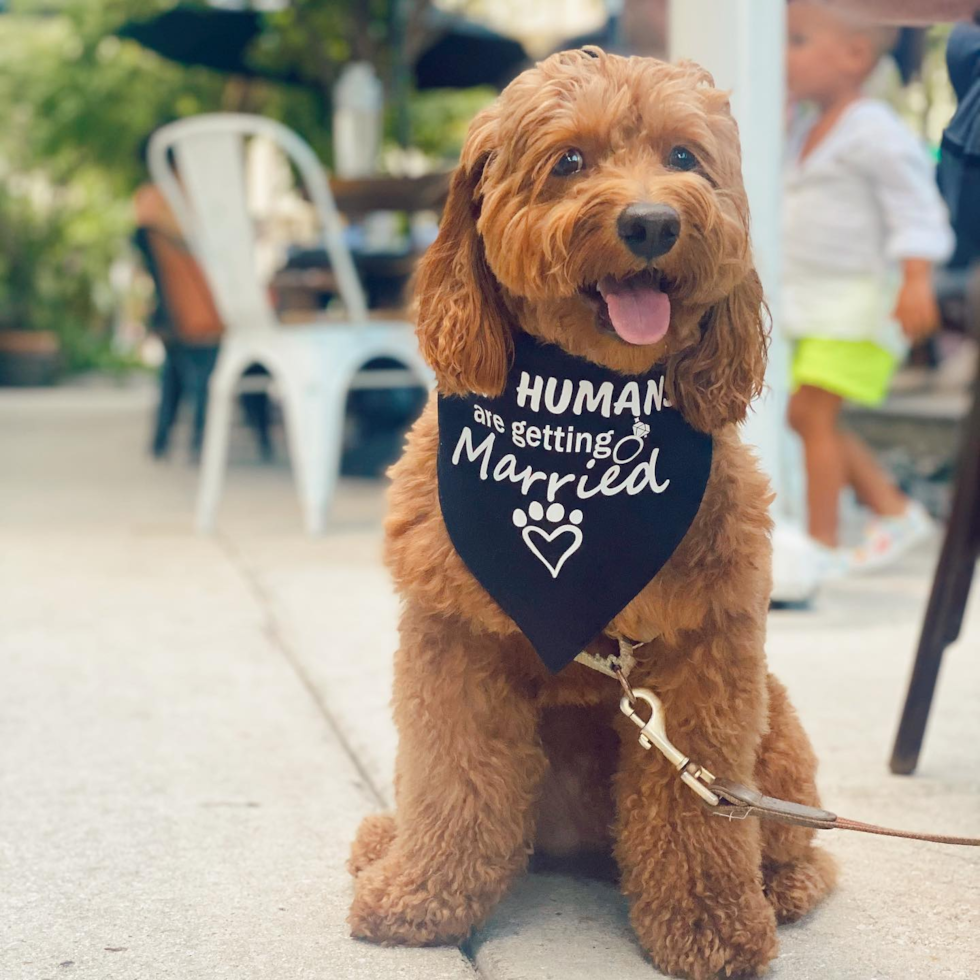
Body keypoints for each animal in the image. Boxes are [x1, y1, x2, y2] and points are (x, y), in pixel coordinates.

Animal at [344, 47, 836, 980]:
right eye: (569, 160)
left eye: (684, 158)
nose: (650, 223)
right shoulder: (453, 641)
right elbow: (452, 779)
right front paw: (421, 895)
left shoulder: (706, 655)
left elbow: (694, 815)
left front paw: (714, 927)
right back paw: (385, 843)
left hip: (777, 718)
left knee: (792, 834)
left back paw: (783, 886)